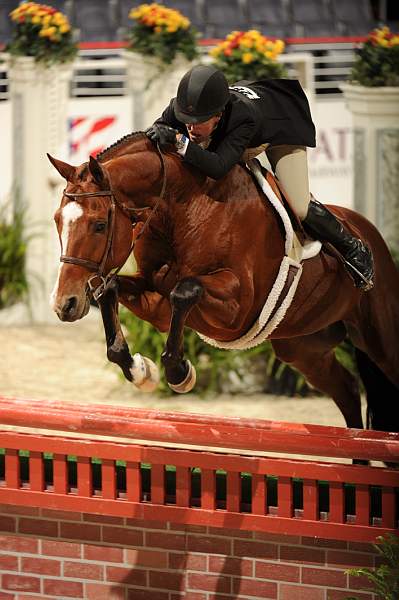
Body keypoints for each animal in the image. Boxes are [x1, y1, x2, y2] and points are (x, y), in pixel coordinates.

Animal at [49, 131, 399, 434]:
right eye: (57, 220)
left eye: (99, 225)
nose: (65, 304)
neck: (183, 206)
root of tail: (371, 232)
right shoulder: (155, 298)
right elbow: (110, 288)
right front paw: (139, 369)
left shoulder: (237, 308)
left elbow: (185, 291)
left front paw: (179, 372)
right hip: (303, 347)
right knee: (348, 390)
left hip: (379, 339)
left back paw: (360, 260)